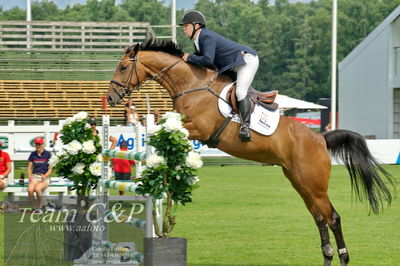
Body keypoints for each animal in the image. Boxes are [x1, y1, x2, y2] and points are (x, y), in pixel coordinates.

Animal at [104, 38, 396, 264]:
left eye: (123, 67)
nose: (110, 98)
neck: (192, 86)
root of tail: (320, 138)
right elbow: (163, 124)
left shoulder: (198, 128)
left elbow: (165, 127)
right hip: (300, 182)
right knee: (319, 218)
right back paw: (327, 257)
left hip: (313, 184)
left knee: (332, 217)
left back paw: (344, 257)